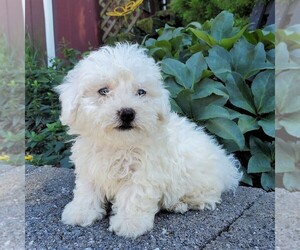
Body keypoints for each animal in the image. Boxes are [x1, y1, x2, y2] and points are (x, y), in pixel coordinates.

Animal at [56, 43, 243, 238]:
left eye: (141, 92)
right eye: (103, 91)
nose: (127, 113)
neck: (117, 144)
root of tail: (227, 166)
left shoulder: (145, 171)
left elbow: (134, 195)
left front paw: (130, 223)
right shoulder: (89, 167)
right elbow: (87, 190)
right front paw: (80, 211)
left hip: (199, 181)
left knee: (206, 196)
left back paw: (178, 204)